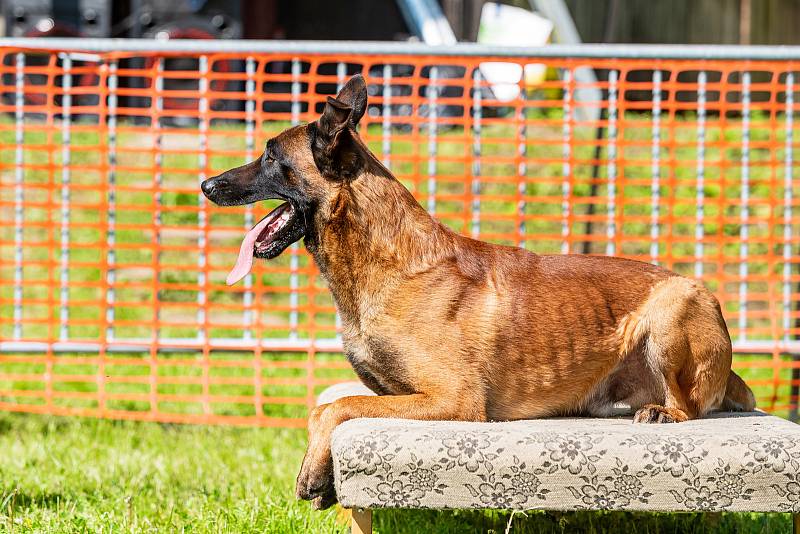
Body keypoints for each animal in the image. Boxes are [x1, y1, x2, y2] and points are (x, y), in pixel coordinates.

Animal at [202, 74, 756, 510]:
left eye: (270, 156)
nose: (206, 185)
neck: (390, 260)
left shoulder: (455, 398)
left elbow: (331, 408)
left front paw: (314, 473)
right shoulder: (395, 394)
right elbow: (342, 404)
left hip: (672, 309)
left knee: (689, 408)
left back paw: (663, 412)